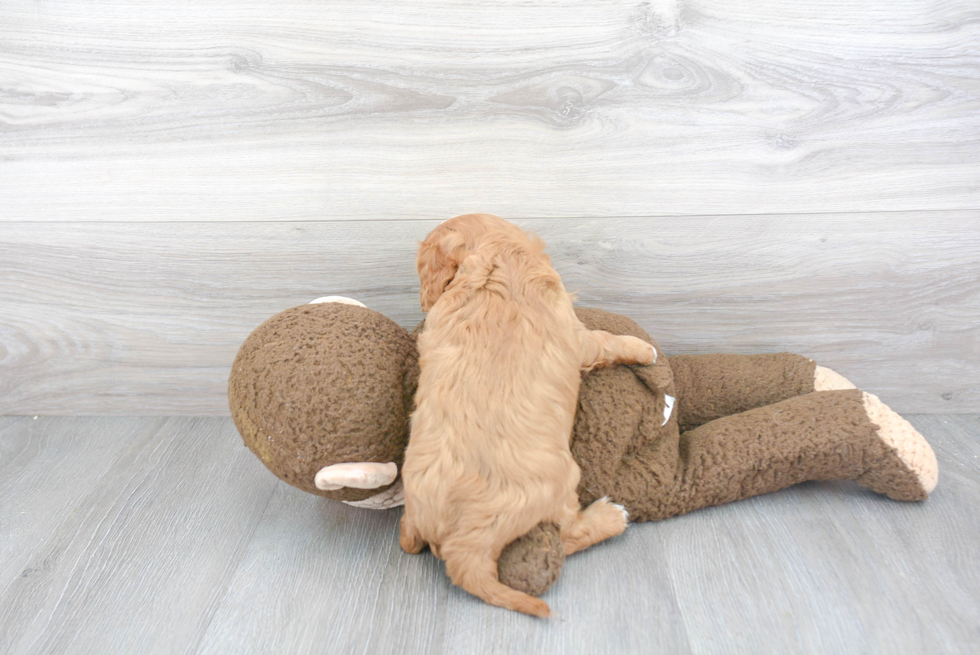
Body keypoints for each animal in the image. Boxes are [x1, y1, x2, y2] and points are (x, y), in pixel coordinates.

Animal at [398, 213, 660, 616]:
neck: (494, 265)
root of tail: (463, 549)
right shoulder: (576, 334)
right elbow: (606, 341)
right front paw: (645, 349)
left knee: (408, 541)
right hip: (563, 480)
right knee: (569, 534)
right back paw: (612, 516)